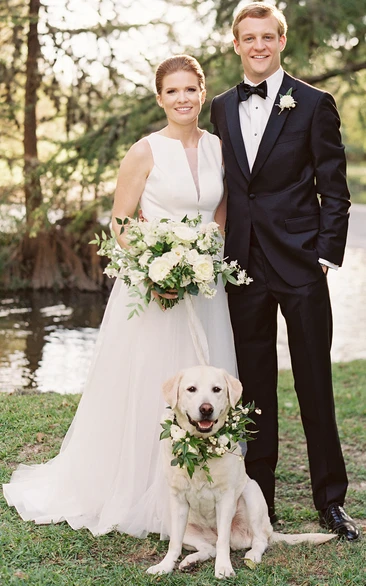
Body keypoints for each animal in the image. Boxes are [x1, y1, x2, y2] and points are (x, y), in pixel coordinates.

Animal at [147, 362, 334, 576]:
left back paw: (252, 556)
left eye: (216, 389)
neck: (201, 449)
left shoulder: (226, 497)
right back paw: (190, 561)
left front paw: (223, 567)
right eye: (191, 389)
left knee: (258, 540)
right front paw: (165, 566)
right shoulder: (178, 500)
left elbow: (223, 541)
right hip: (176, 524)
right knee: (208, 547)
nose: (206, 409)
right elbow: (174, 544)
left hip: (251, 493)